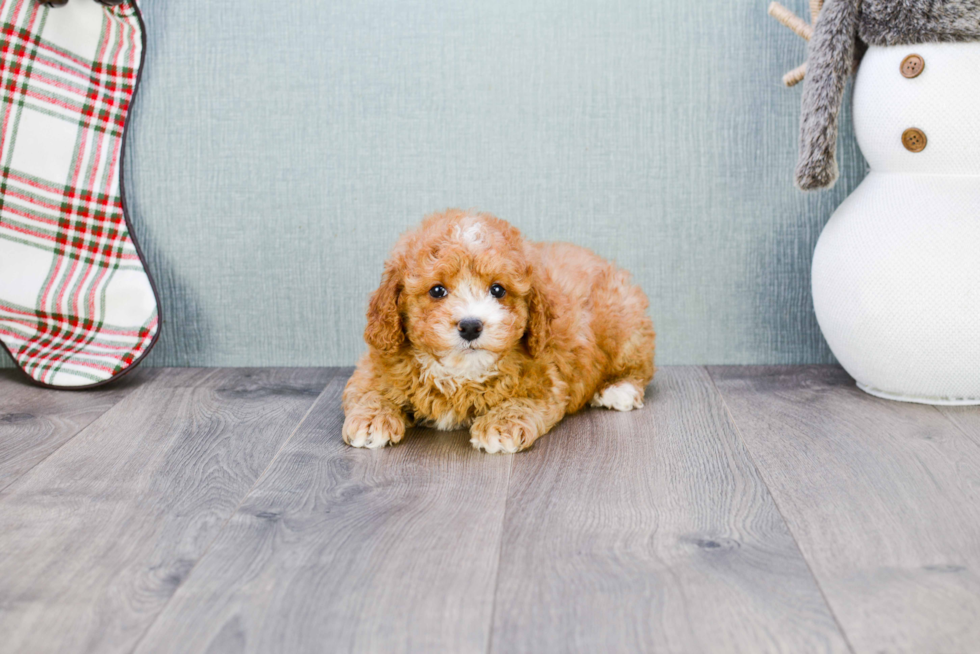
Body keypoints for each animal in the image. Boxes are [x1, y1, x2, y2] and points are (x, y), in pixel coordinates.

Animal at [340, 211, 656, 456]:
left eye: (498, 290)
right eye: (437, 290)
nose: (470, 326)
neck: (460, 373)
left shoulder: (546, 377)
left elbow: (523, 400)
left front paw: (501, 426)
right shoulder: (378, 361)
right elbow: (368, 389)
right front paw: (370, 420)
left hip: (625, 322)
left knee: (638, 367)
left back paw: (619, 389)